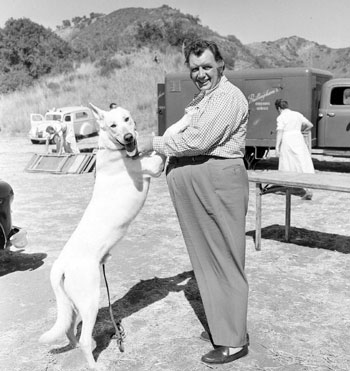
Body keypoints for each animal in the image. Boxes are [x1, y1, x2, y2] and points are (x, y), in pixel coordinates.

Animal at [40, 104, 166, 370]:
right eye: (112, 126)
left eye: (127, 119)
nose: (128, 137)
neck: (112, 150)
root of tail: (61, 265)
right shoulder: (154, 166)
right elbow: (173, 131)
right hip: (90, 300)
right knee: (84, 339)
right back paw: (95, 364)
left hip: (72, 305)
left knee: (70, 330)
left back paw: (74, 347)